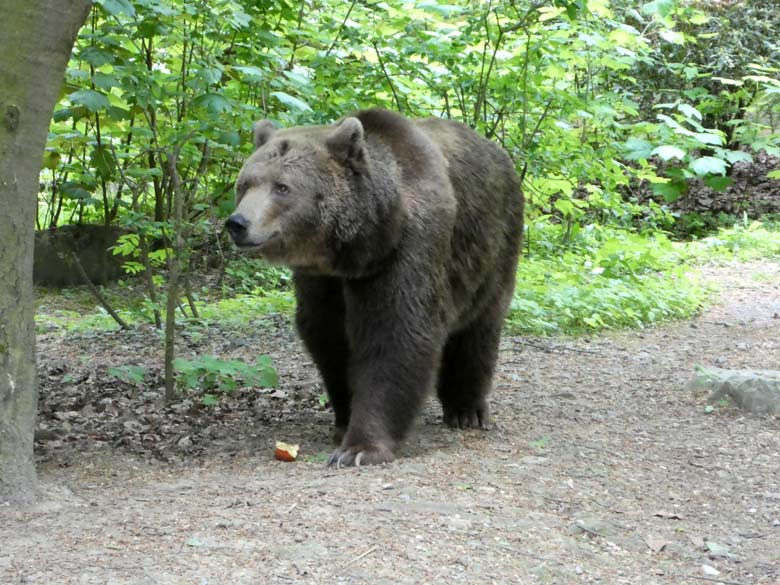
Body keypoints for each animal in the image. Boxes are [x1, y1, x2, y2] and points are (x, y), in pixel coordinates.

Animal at [229, 108, 528, 466]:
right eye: (245, 184)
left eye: (282, 187)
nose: (238, 223)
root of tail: (496, 150)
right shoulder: (322, 279)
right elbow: (328, 337)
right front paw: (343, 422)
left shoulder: (409, 247)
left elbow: (396, 333)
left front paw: (360, 447)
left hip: (495, 242)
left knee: (480, 326)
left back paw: (466, 410)